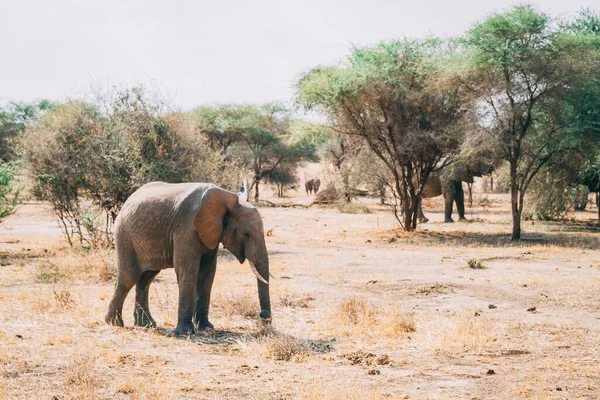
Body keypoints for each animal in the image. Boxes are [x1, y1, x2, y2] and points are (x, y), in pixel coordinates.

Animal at [104, 180, 270, 334]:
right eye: (246, 234)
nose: (263, 314)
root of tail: (128, 199)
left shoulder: (210, 233)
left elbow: (207, 273)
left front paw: (206, 328)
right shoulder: (187, 228)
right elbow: (187, 270)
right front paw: (185, 332)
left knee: (146, 278)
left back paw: (146, 324)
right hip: (124, 235)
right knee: (128, 278)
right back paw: (114, 323)